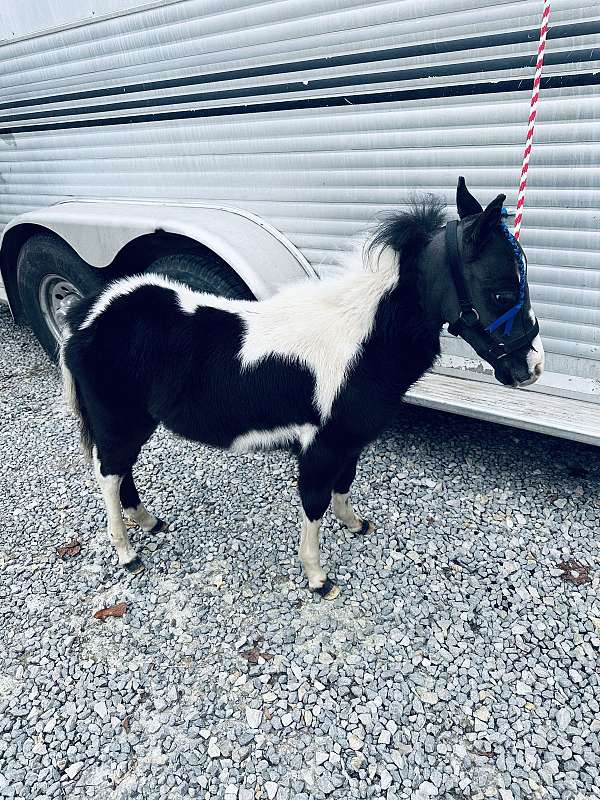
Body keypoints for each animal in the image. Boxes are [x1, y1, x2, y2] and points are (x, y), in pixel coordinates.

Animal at [60, 178, 544, 599]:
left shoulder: (350, 440)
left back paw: (150, 523)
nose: (532, 367)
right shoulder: (322, 444)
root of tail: (87, 313)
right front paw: (318, 578)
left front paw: (356, 525)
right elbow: (314, 502)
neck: (361, 338)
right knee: (109, 472)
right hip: (118, 418)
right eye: (502, 293)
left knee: (121, 470)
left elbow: (344, 484)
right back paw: (127, 553)